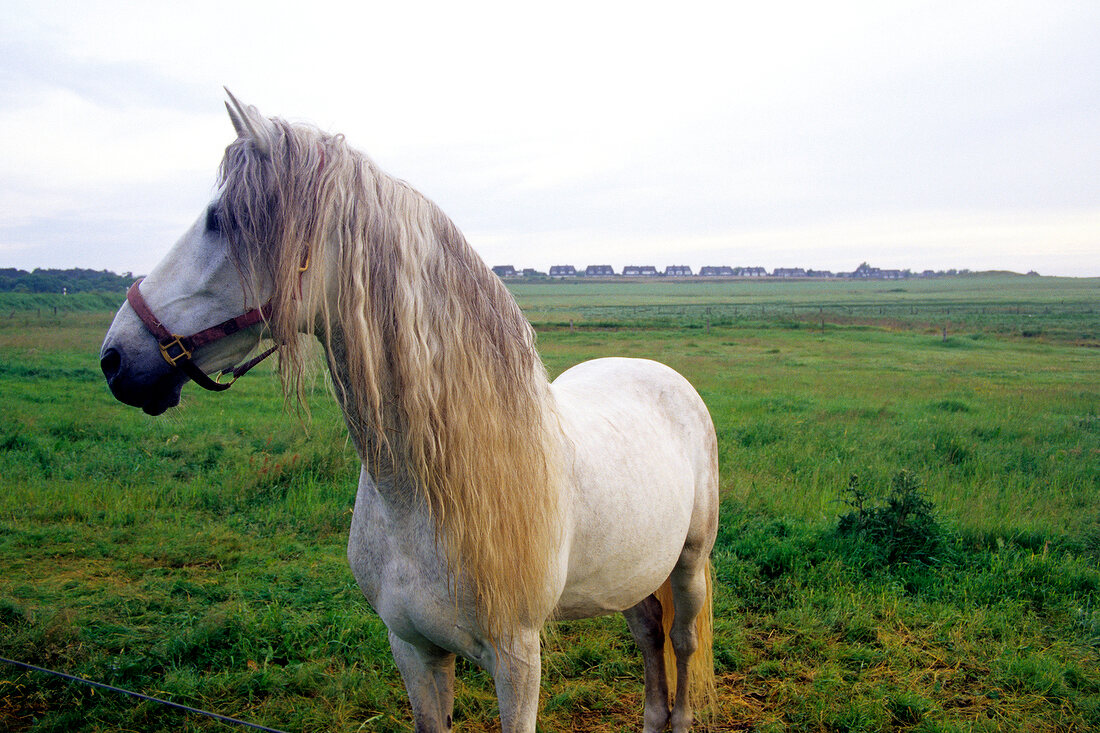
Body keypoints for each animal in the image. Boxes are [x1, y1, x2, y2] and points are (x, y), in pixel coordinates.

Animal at [101, 93, 721, 730]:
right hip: (633, 572)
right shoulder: (412, 647)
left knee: (682, 640)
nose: (116, 358)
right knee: (647, 634)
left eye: (220, 218)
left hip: (689, 562)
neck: (426, 492)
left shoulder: (518, 660)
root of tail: (656, 369)